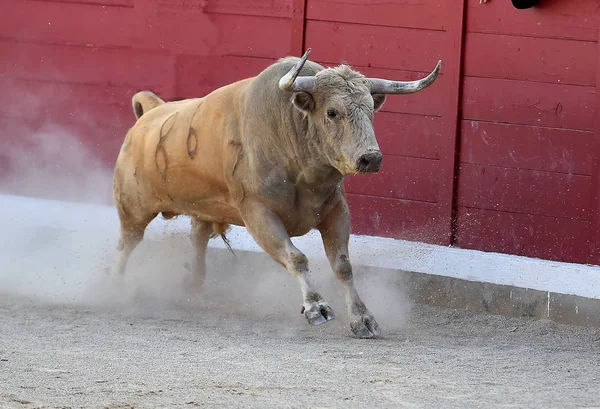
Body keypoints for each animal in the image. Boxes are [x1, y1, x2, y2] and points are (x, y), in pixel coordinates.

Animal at [111, 48, 440, 338]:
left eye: (371, 109)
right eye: (332, 112)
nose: (370, 158)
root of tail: (151, 111)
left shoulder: (336, 211)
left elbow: (343, 265)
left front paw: (363, 319)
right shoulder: (257, 213)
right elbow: (295, 257)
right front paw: (316, 307)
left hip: (203, 209)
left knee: (198, 238)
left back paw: (192, 287)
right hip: (132, 208)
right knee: (128, 243)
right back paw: (115, 287)